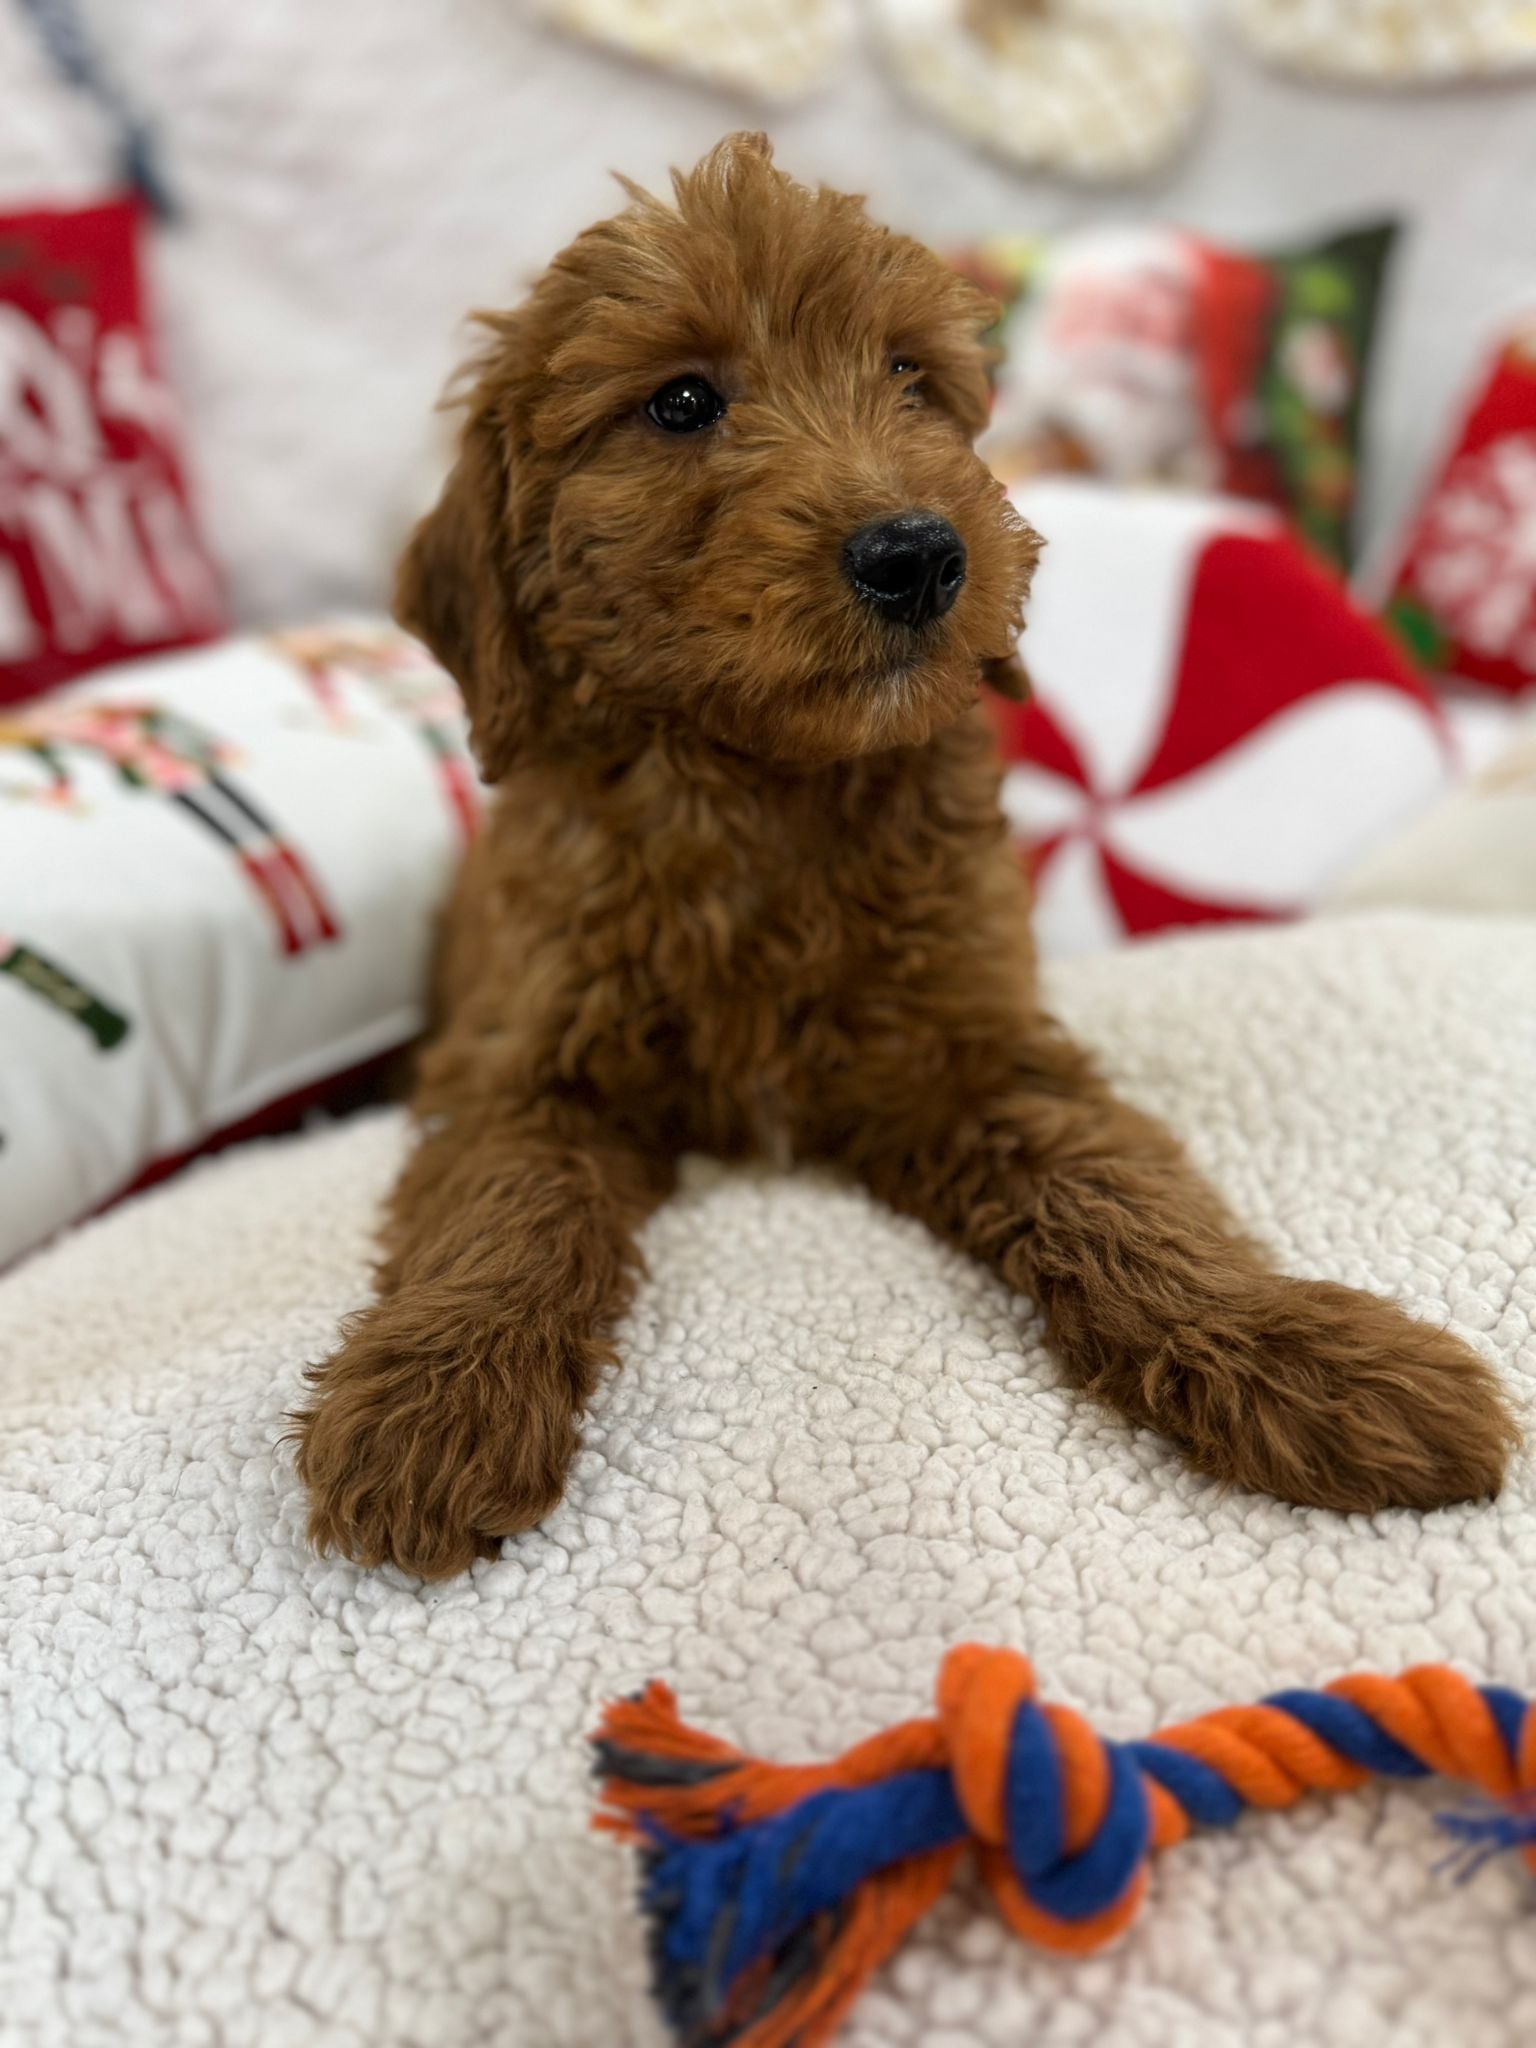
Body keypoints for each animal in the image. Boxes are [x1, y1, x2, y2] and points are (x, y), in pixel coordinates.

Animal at [294, 136, 1523, 1572]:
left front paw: (1305, 1356)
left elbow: (1123, 1192)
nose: (918, 553)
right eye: (682, 402)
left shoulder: (979, 1053)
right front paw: (439, 1394)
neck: (764, 789)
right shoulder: (522, 1058)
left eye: (911, 379)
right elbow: (503, 1205)